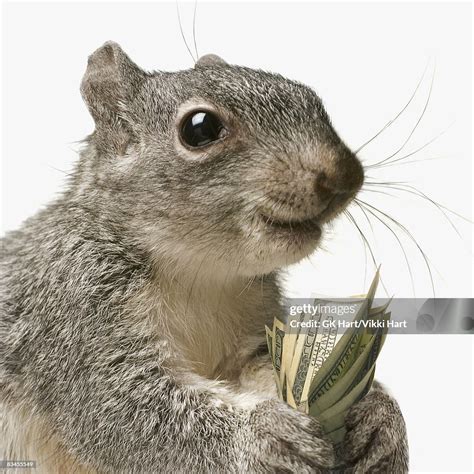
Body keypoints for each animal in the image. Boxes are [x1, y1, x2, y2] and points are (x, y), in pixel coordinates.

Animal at [0, 42, 408, 472]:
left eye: (310, 98)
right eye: (200, 129)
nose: (344, 176)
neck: (200, 274)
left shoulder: (251, 333)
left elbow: (261, 368)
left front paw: (379, 414)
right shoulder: (74, 319)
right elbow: (127, 412)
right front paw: (265, 437)